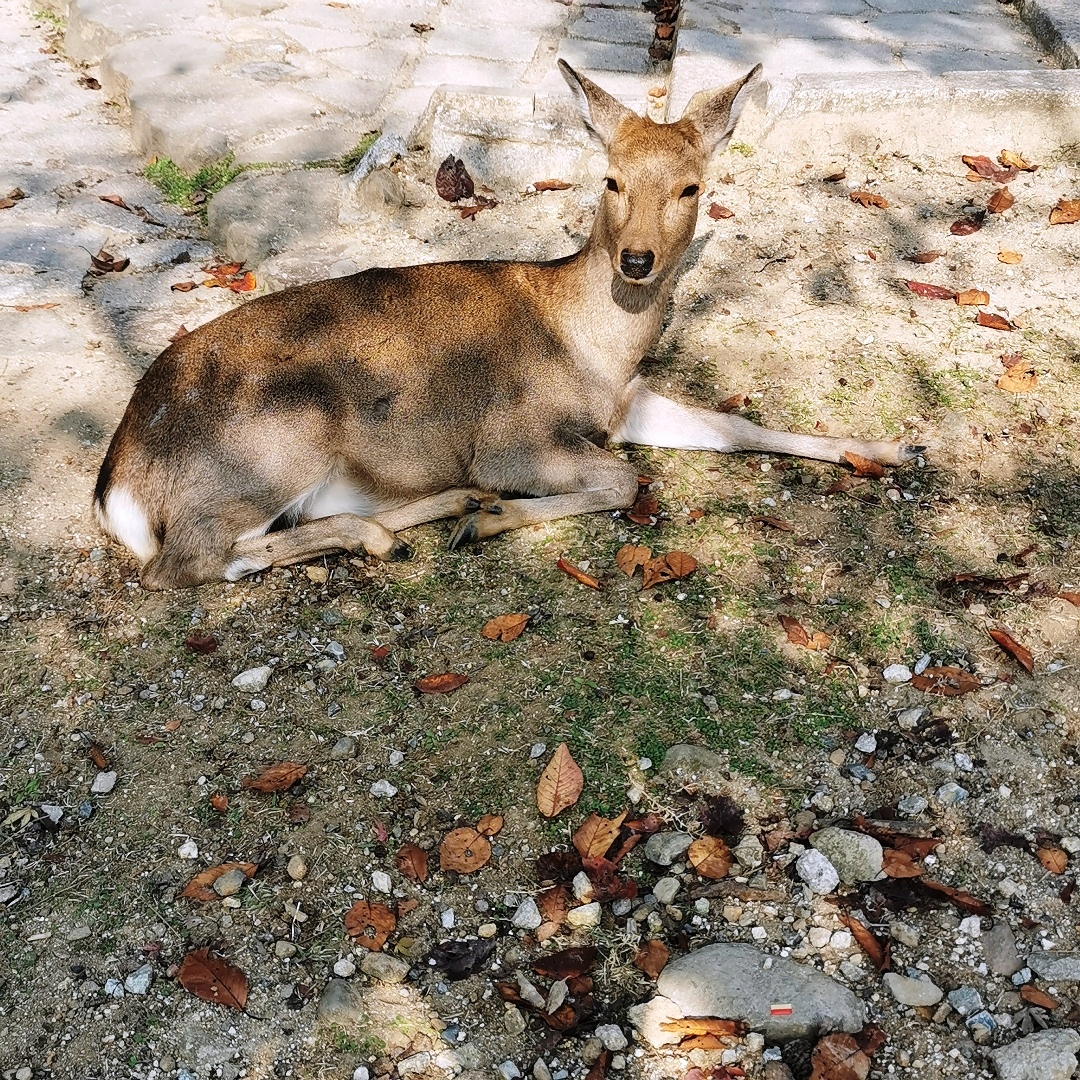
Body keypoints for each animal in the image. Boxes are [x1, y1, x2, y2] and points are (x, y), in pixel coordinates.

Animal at [95, 61, 920, 591]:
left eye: (692, 187)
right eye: (610, 178)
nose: (637, 260)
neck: (592, 346)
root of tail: (118, 485)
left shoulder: (619, 405)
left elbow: (736, 427)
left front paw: (893, 448)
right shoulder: (510, 439)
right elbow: (625, 477)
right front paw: (494, 521)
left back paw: (438, 512)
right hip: (280, 437)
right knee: (184, 564)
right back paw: (410, 528)